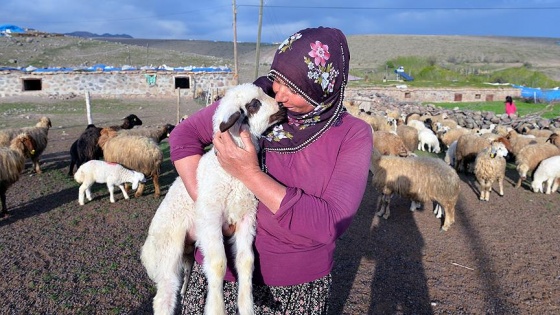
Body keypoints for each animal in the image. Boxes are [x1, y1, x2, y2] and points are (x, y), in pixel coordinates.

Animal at [138, 83, 286, 315]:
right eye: (254, 104)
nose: (282, 105)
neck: (232, 177)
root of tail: (146, 253)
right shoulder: (210, 218)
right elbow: (218, 264)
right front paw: (216, 308)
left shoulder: (246, 217)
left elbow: (246, 262)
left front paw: (246, 306)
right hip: (168, 252)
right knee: (164, 295)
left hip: (186, 256)